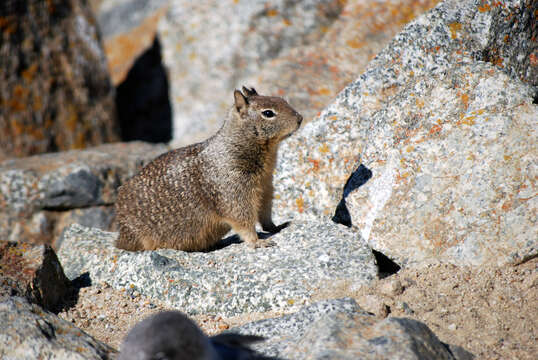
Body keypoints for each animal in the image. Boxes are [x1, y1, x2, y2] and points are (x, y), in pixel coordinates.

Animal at [115, 87, 302, 250]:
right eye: (268, 113)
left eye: (283, 100)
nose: (300, 118)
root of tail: (120, 234)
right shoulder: (233, 191)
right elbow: (243, 219)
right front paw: (258, 242)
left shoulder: (266, 187)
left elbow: (265, 213)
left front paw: (276, 226)